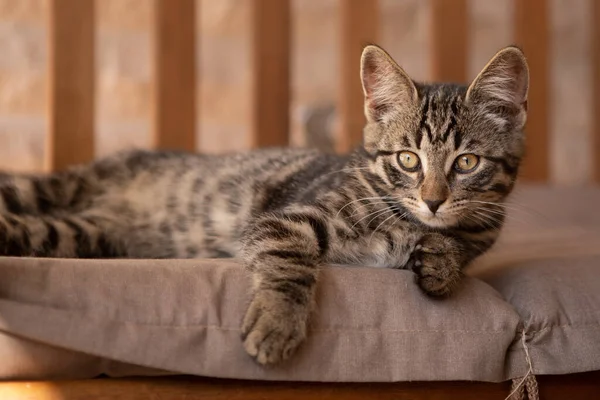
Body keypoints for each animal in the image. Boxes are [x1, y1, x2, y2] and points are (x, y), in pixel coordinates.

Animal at [0, 43, 528, 366]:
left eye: (467, 162)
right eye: (407, 159)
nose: (434, 201)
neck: (407, 220)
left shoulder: (481, 229)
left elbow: (458, 247)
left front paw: (442, 262)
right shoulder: (287, 217)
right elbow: (290, 263)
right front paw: (277, 323)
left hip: (87, 234)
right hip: (51, 191)